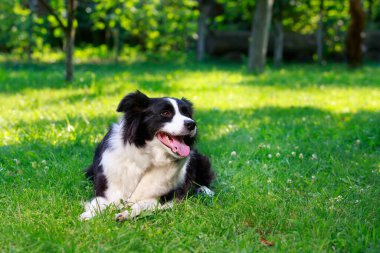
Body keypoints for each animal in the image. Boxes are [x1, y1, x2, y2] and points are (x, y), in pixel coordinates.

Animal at [80, 91, 215, 221]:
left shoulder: (164, 197)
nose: (192, 124)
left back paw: (205, 190)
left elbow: (141, 204)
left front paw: (125, 214)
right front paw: (88, 214)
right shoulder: (109, 187)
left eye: (186, 113)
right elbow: (100, 202)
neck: (147, 156)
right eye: (165, 113)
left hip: (201, 160)